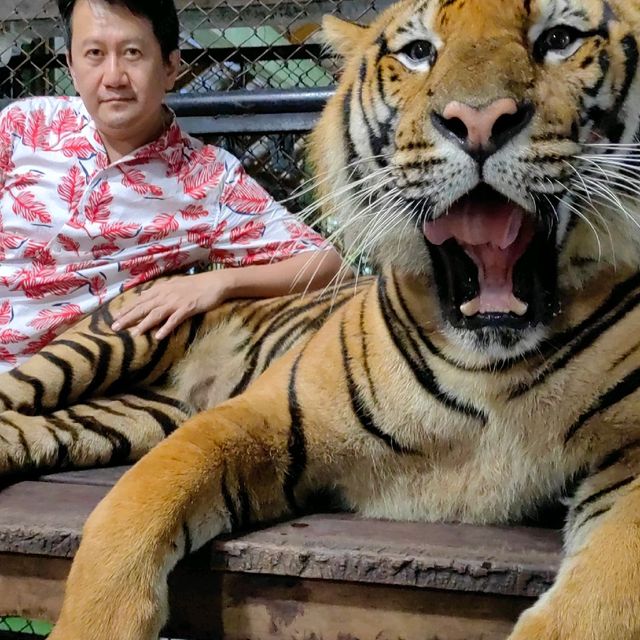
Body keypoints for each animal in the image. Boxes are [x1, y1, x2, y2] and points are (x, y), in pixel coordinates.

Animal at [0, 0, 636, 636]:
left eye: (559, 39)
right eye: (418, 52)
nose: (479, 121)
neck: (488, 363)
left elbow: (600, 592)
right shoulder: (261, 414)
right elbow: (133, 510)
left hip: (121, 417)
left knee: (19, 432)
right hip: (101, 348)